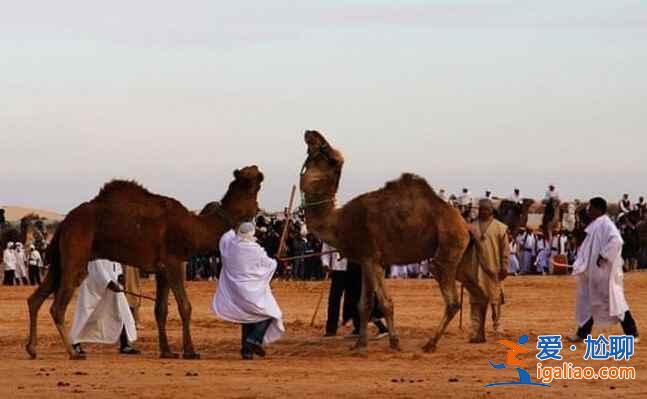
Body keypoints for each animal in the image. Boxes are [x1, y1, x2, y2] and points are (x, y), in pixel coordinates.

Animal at [25, 166, 264, 360]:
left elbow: (161, 309)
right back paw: (73, 352)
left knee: (35, 299)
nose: (257, 168)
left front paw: (167, 351)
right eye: (256, 182)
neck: (196, 229)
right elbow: (184, 306)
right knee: (57, 305)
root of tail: (65, 222)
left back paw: (32, 349)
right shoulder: (174, 261)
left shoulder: (162, 269)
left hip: (59, 260)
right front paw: (190, 351)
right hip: (76, 253)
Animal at [298, 131, 470, 354]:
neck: (339, 222)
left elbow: (385, 303)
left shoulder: (372, 257)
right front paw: (360, 343)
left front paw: (394, 342)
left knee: (452, 300)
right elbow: (364, 304)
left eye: (325, 150)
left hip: (447, 248)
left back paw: (430, 343)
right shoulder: (366, 260)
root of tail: (463, 223)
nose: (310, 132)